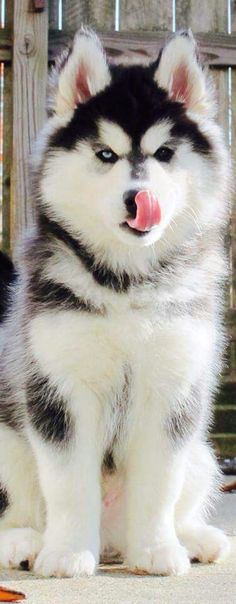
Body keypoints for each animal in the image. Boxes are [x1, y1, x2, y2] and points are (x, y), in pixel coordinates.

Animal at [0, 28, 230, 576]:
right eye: (105, 155)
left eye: (165, 153)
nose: (138, 198)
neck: (128, 282)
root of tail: (108, 539)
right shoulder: (60, 387)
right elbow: (68, 484)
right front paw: (66, 554)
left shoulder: (173, 389)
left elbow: (159, 482)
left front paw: (157, 550)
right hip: (4, 440)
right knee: (20, 508)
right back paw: (24, 542)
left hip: (203, 450)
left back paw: (193, 538)